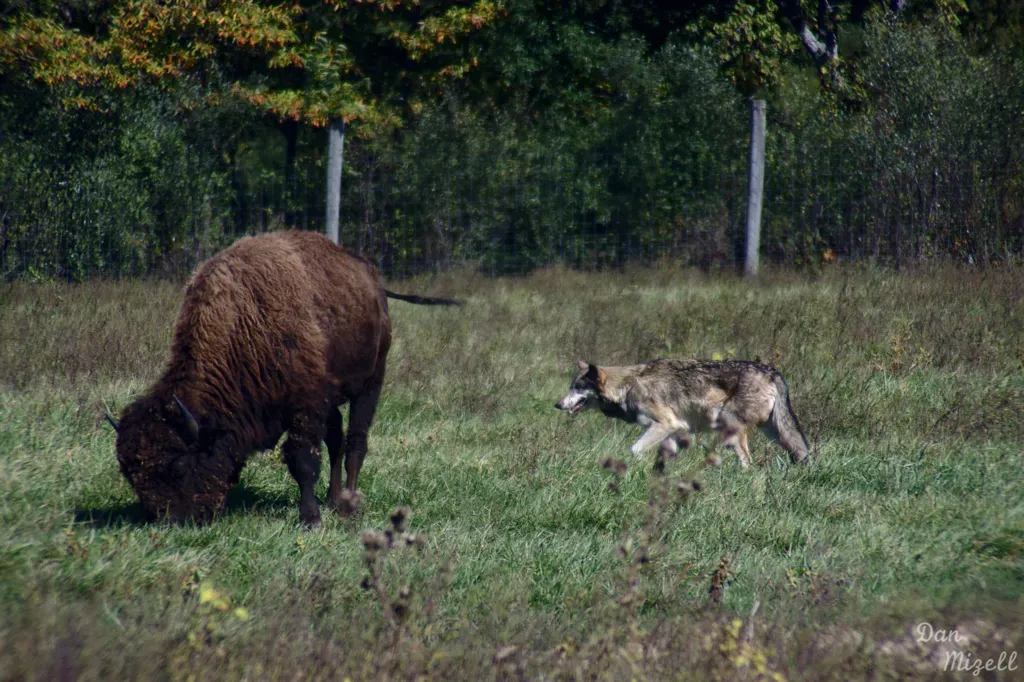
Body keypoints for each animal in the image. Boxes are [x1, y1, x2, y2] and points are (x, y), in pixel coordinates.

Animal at [555, 358, 810, 468]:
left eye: (577, 387)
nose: (557, 404)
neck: (628, 386)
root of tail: (773, 372)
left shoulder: (665, 425)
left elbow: (634, 450)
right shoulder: (680, 431)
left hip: (729, 430)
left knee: (747, 462)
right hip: (777, 433)